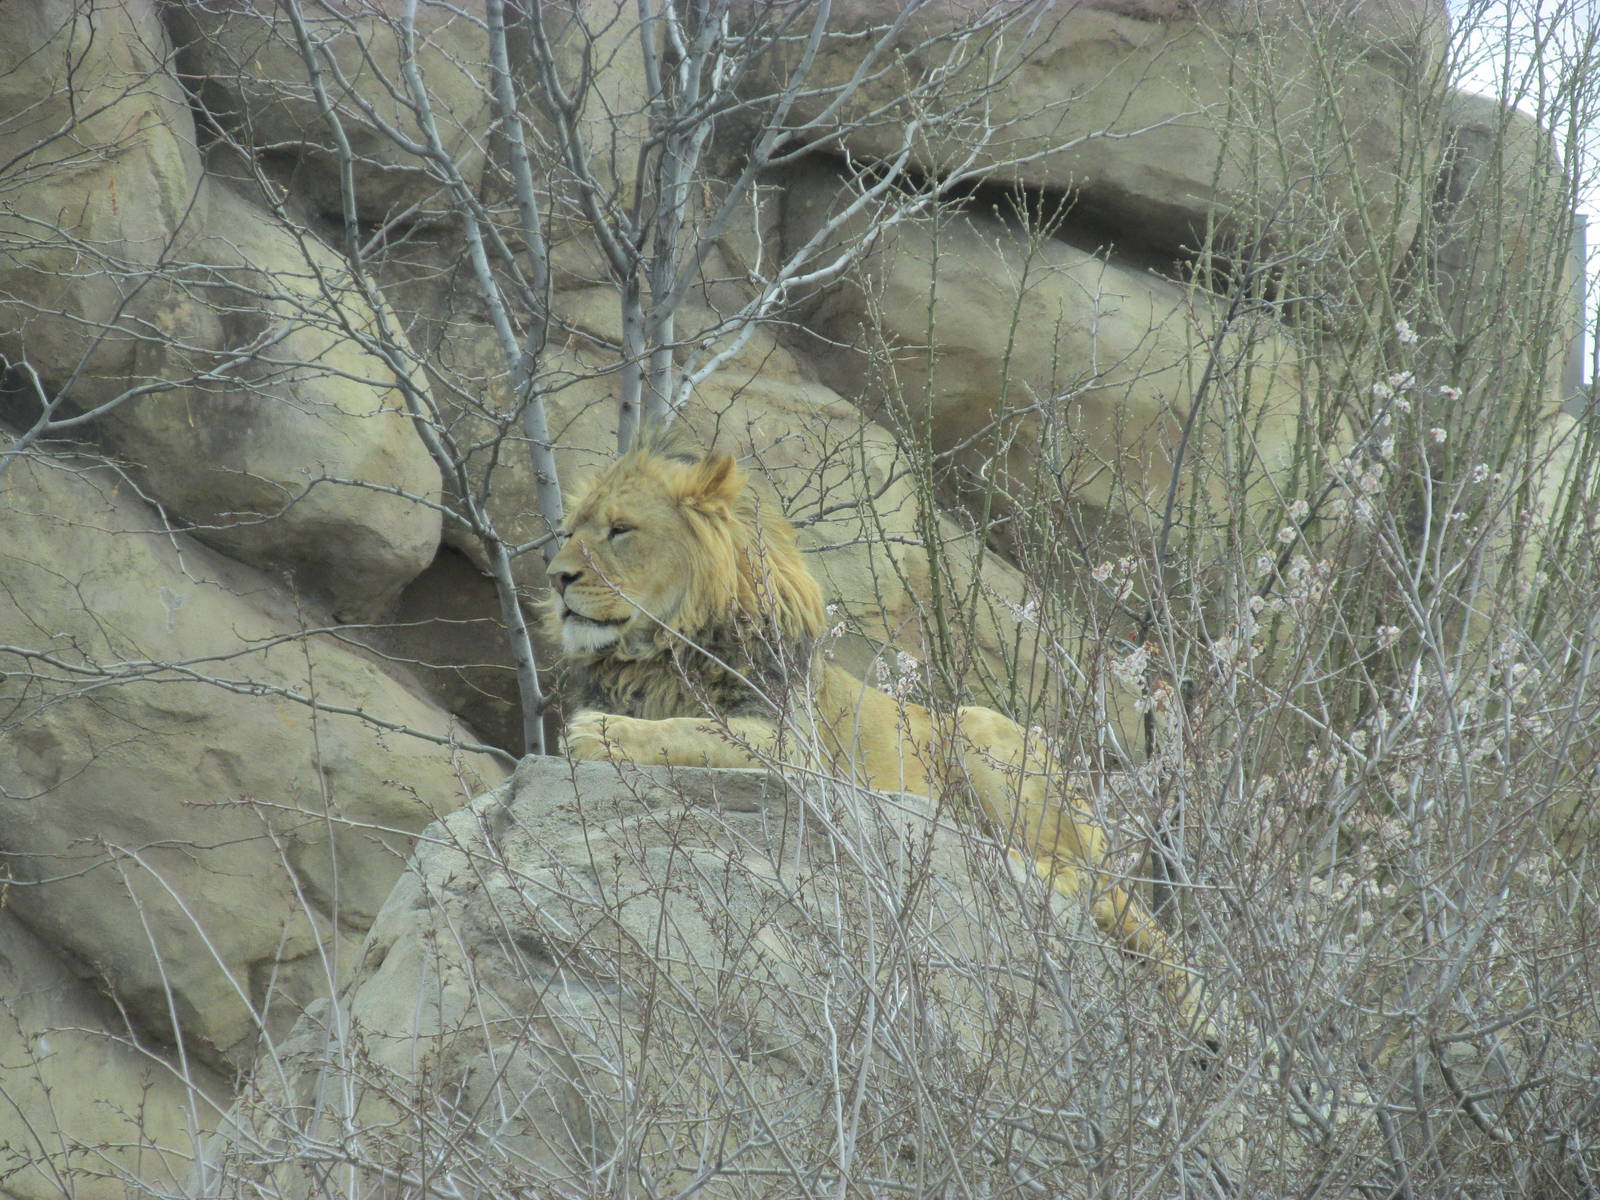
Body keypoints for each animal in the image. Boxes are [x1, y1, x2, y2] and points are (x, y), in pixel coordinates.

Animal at [548, 433, 1208, 1036]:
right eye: (570, 530)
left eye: (620, 530)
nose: (556, 578)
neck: (657, 654)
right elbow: (685, 724)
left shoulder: (793, 745)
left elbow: (688, 729)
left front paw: (595, 732)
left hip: (979, 731)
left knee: (1079, 880)